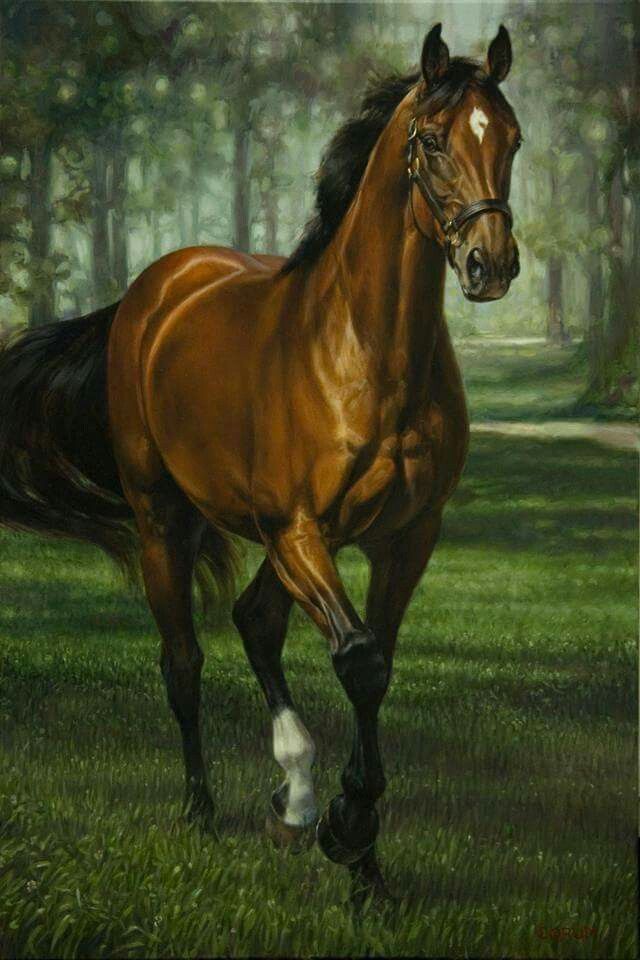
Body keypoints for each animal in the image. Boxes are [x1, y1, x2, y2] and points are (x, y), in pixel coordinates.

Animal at [0, 23, 521, 907]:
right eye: (431, 141)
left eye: (512, 139)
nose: (492, 264)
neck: (364, 351)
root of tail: (150, 291)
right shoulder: (298, 528)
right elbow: (359, 659)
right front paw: (348, 829)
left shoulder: (404, 538)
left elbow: (375, 663)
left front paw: (362, 861)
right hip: (168, 521)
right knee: (184, 662)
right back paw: (204, 812)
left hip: (284, 545)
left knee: (254, 621)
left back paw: (294, 793)